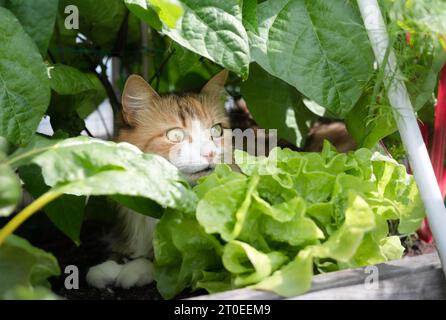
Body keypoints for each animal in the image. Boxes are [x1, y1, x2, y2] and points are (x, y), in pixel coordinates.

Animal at [87, 70, 233, 290]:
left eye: (216, 131)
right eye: (175, 135)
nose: (210, 153)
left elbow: (167, 261)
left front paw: (135, 269)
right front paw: (107, 268)